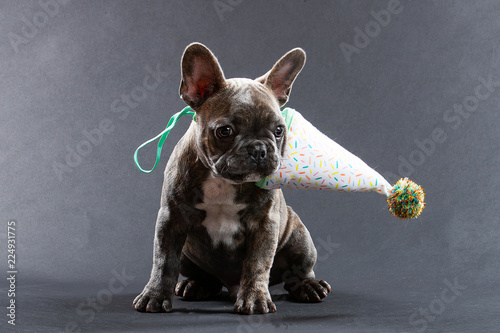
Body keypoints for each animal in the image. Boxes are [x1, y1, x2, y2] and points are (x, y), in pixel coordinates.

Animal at [132, 42, 332, 314]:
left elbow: (257, 263)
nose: (259, 149)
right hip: (187, 253)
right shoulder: (171, 219)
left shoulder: (264, 224)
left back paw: (308, 286)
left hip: (299, 238)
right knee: (204, 277)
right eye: (225, 131)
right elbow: (163, 261)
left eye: (279, 130)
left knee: (298, 270)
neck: (222, 181)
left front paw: (255, 299)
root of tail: (230, 286)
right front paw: (154, 295)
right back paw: (195, 285)